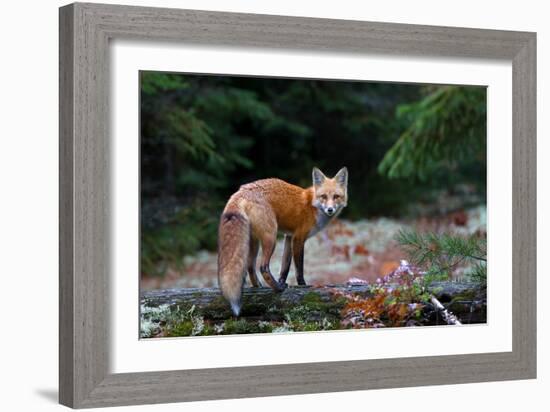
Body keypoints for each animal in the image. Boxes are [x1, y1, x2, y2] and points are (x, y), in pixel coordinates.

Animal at [217, 167, 350, 316]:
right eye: (324, 196)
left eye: (336, 196)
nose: (330, 209)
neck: (313, 206)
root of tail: (241, 191)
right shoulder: (298, 238)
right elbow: (299, 268)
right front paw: (303, 286)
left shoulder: (289, 237)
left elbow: (285, 266)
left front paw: (282, 281)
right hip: (271, 237)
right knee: (263, 267)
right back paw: (277, 288)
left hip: (254, 242)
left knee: (250, 266)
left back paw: (260, 287)